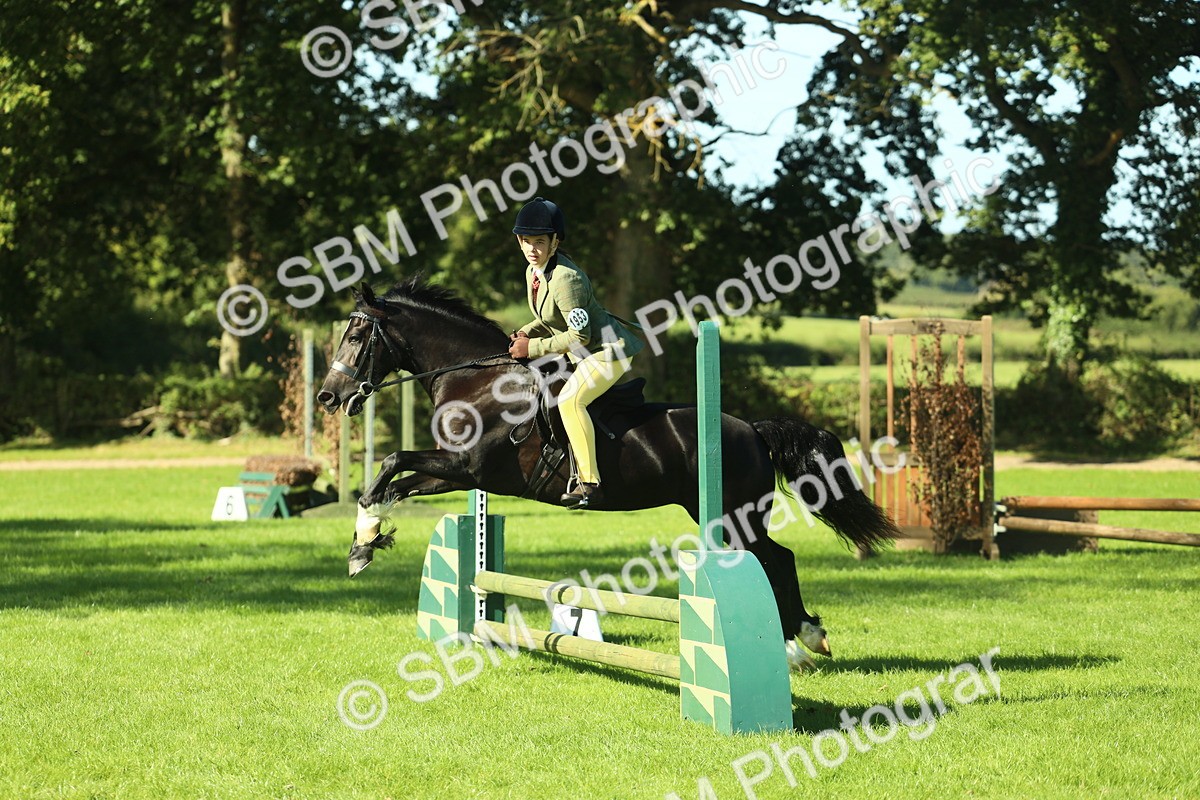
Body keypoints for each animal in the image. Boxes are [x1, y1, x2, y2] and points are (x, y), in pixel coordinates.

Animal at [316, 276, 899, 666]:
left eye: (356, 337)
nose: (328, 396)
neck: (477, 381)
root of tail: (751, 429)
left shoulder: (468, 466)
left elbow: (392, 461)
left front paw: (362, 547)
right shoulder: (458, 475)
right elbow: (391, 480)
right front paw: (366, 541)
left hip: (734, 515)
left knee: (776, 559)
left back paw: (803, 642)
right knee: (773, 559)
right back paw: (797, 641)